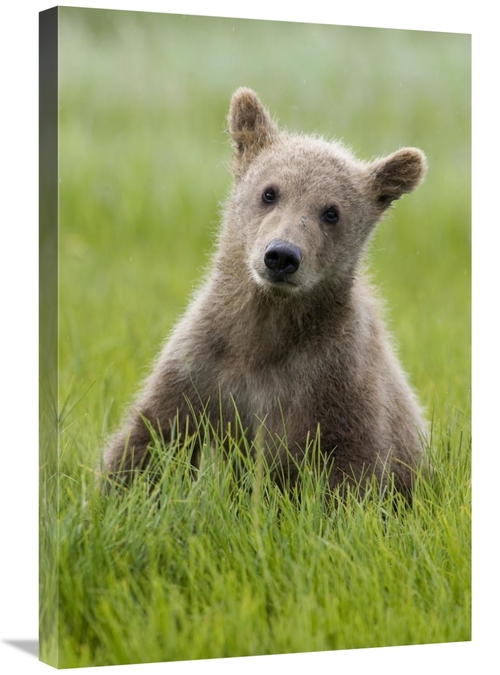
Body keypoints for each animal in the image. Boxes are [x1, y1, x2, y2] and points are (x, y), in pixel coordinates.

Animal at [104, 87, 428, 499]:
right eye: (270, 192)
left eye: (332, 212)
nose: (282, 256)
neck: (265, 331)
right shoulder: (201, 367)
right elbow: (153, 438)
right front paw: (115, 492)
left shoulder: (339, 383)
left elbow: (353, 469)